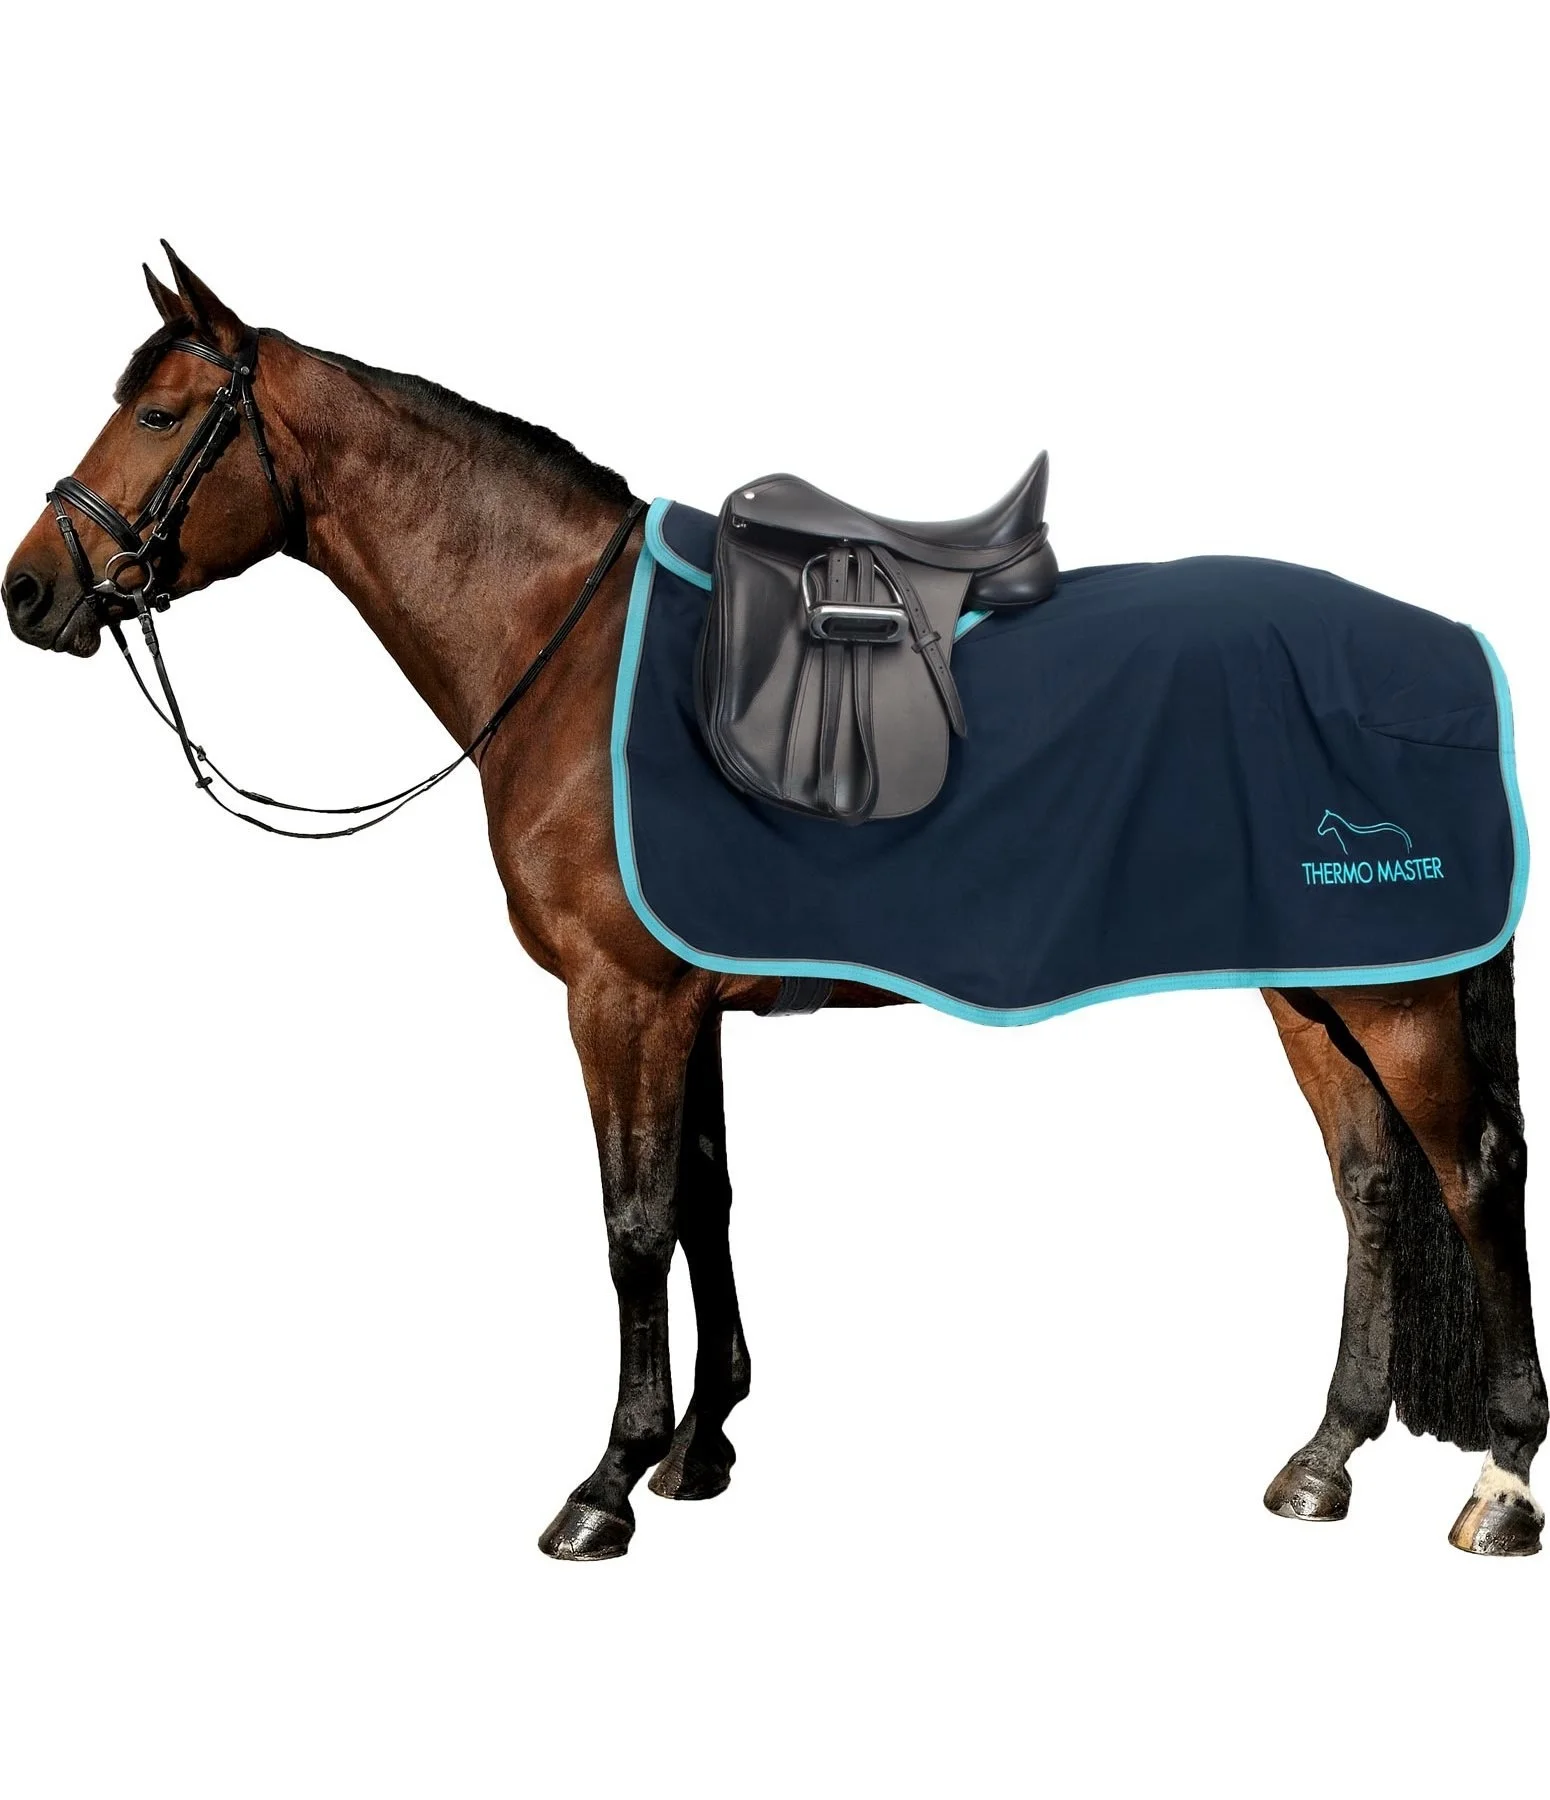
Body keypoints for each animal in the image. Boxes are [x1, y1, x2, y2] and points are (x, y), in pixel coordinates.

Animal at [4, 249, 1544, 1561]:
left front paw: (606, 1483)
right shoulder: (686, 999)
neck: (564, 643)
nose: (30, 590)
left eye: (158, 413)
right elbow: (703, 1201)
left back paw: (1499, 1482)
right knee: (1368, 1184)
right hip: (1310, 988)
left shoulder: (618, 998)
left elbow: (629, 1225)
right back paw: (1322, 1458)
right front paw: (701, 1444)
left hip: (1392, 994)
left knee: (1468, 1176)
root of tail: (1441, 654)